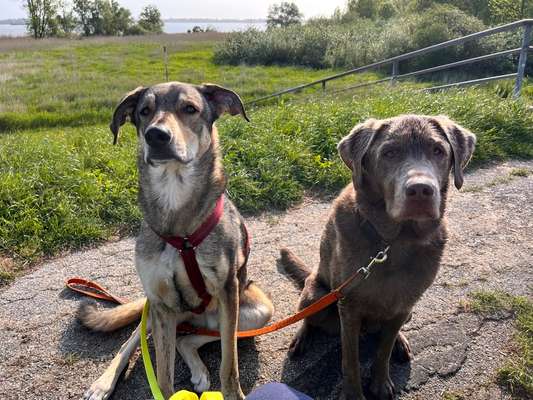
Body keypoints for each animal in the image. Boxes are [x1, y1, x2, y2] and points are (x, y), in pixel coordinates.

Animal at [280, 114, 476, 398]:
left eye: (438, 150)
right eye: (389, 153)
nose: (421, 190)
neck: (396, 242)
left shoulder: (403, 305)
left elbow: (383, 349)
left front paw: (381, 383)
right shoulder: (349, 307)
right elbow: (350, 360)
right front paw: (354, 393)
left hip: (407, 313)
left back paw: (401, 342)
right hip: (315, 295)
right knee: (307, 317)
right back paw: (300, 338)